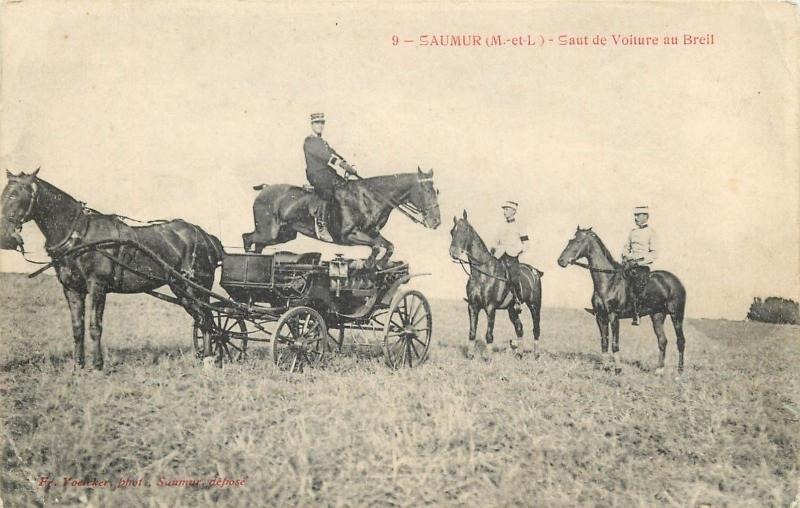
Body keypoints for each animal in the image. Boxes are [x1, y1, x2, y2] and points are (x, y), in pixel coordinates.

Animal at [1, 169, 225, 372]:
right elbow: (77, 327)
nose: (5, 237)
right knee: (204, 320)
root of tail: (207, 237)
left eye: (14, 195)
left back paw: (210, 361)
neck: (80, 235)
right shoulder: (72, 288)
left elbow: (95, 326)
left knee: (207, 319)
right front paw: (78, 366)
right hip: (182, 289)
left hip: (194, 287)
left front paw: (97, 366)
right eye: (4, 193)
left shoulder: (97, 285)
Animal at [450, 212, 544, 360]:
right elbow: (472, 332)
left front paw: (488, 358)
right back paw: (519, 354)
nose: (453, 253)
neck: (482, 273)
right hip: (512, 310)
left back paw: (536, 354)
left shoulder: (490, 308)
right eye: (452, 232)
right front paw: (470, 355)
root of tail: (536, 272)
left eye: (465, 230)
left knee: (536, 329)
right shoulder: (472, 306)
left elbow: (489, 334)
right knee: (519, 328)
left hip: (535, 305)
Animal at [556, 228, 688, 372]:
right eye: (570, 240)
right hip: (657, 316)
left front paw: (618, 369)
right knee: (662, 340)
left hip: (676, 315)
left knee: (680, 341)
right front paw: (605, 367)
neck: (608, 281)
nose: (561, 261)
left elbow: (615, 343)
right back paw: (659, 369)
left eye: (579, 241)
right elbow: (604, 342)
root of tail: (677, 281)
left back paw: (680, 370)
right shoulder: (600, 317)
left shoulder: (614, 316)